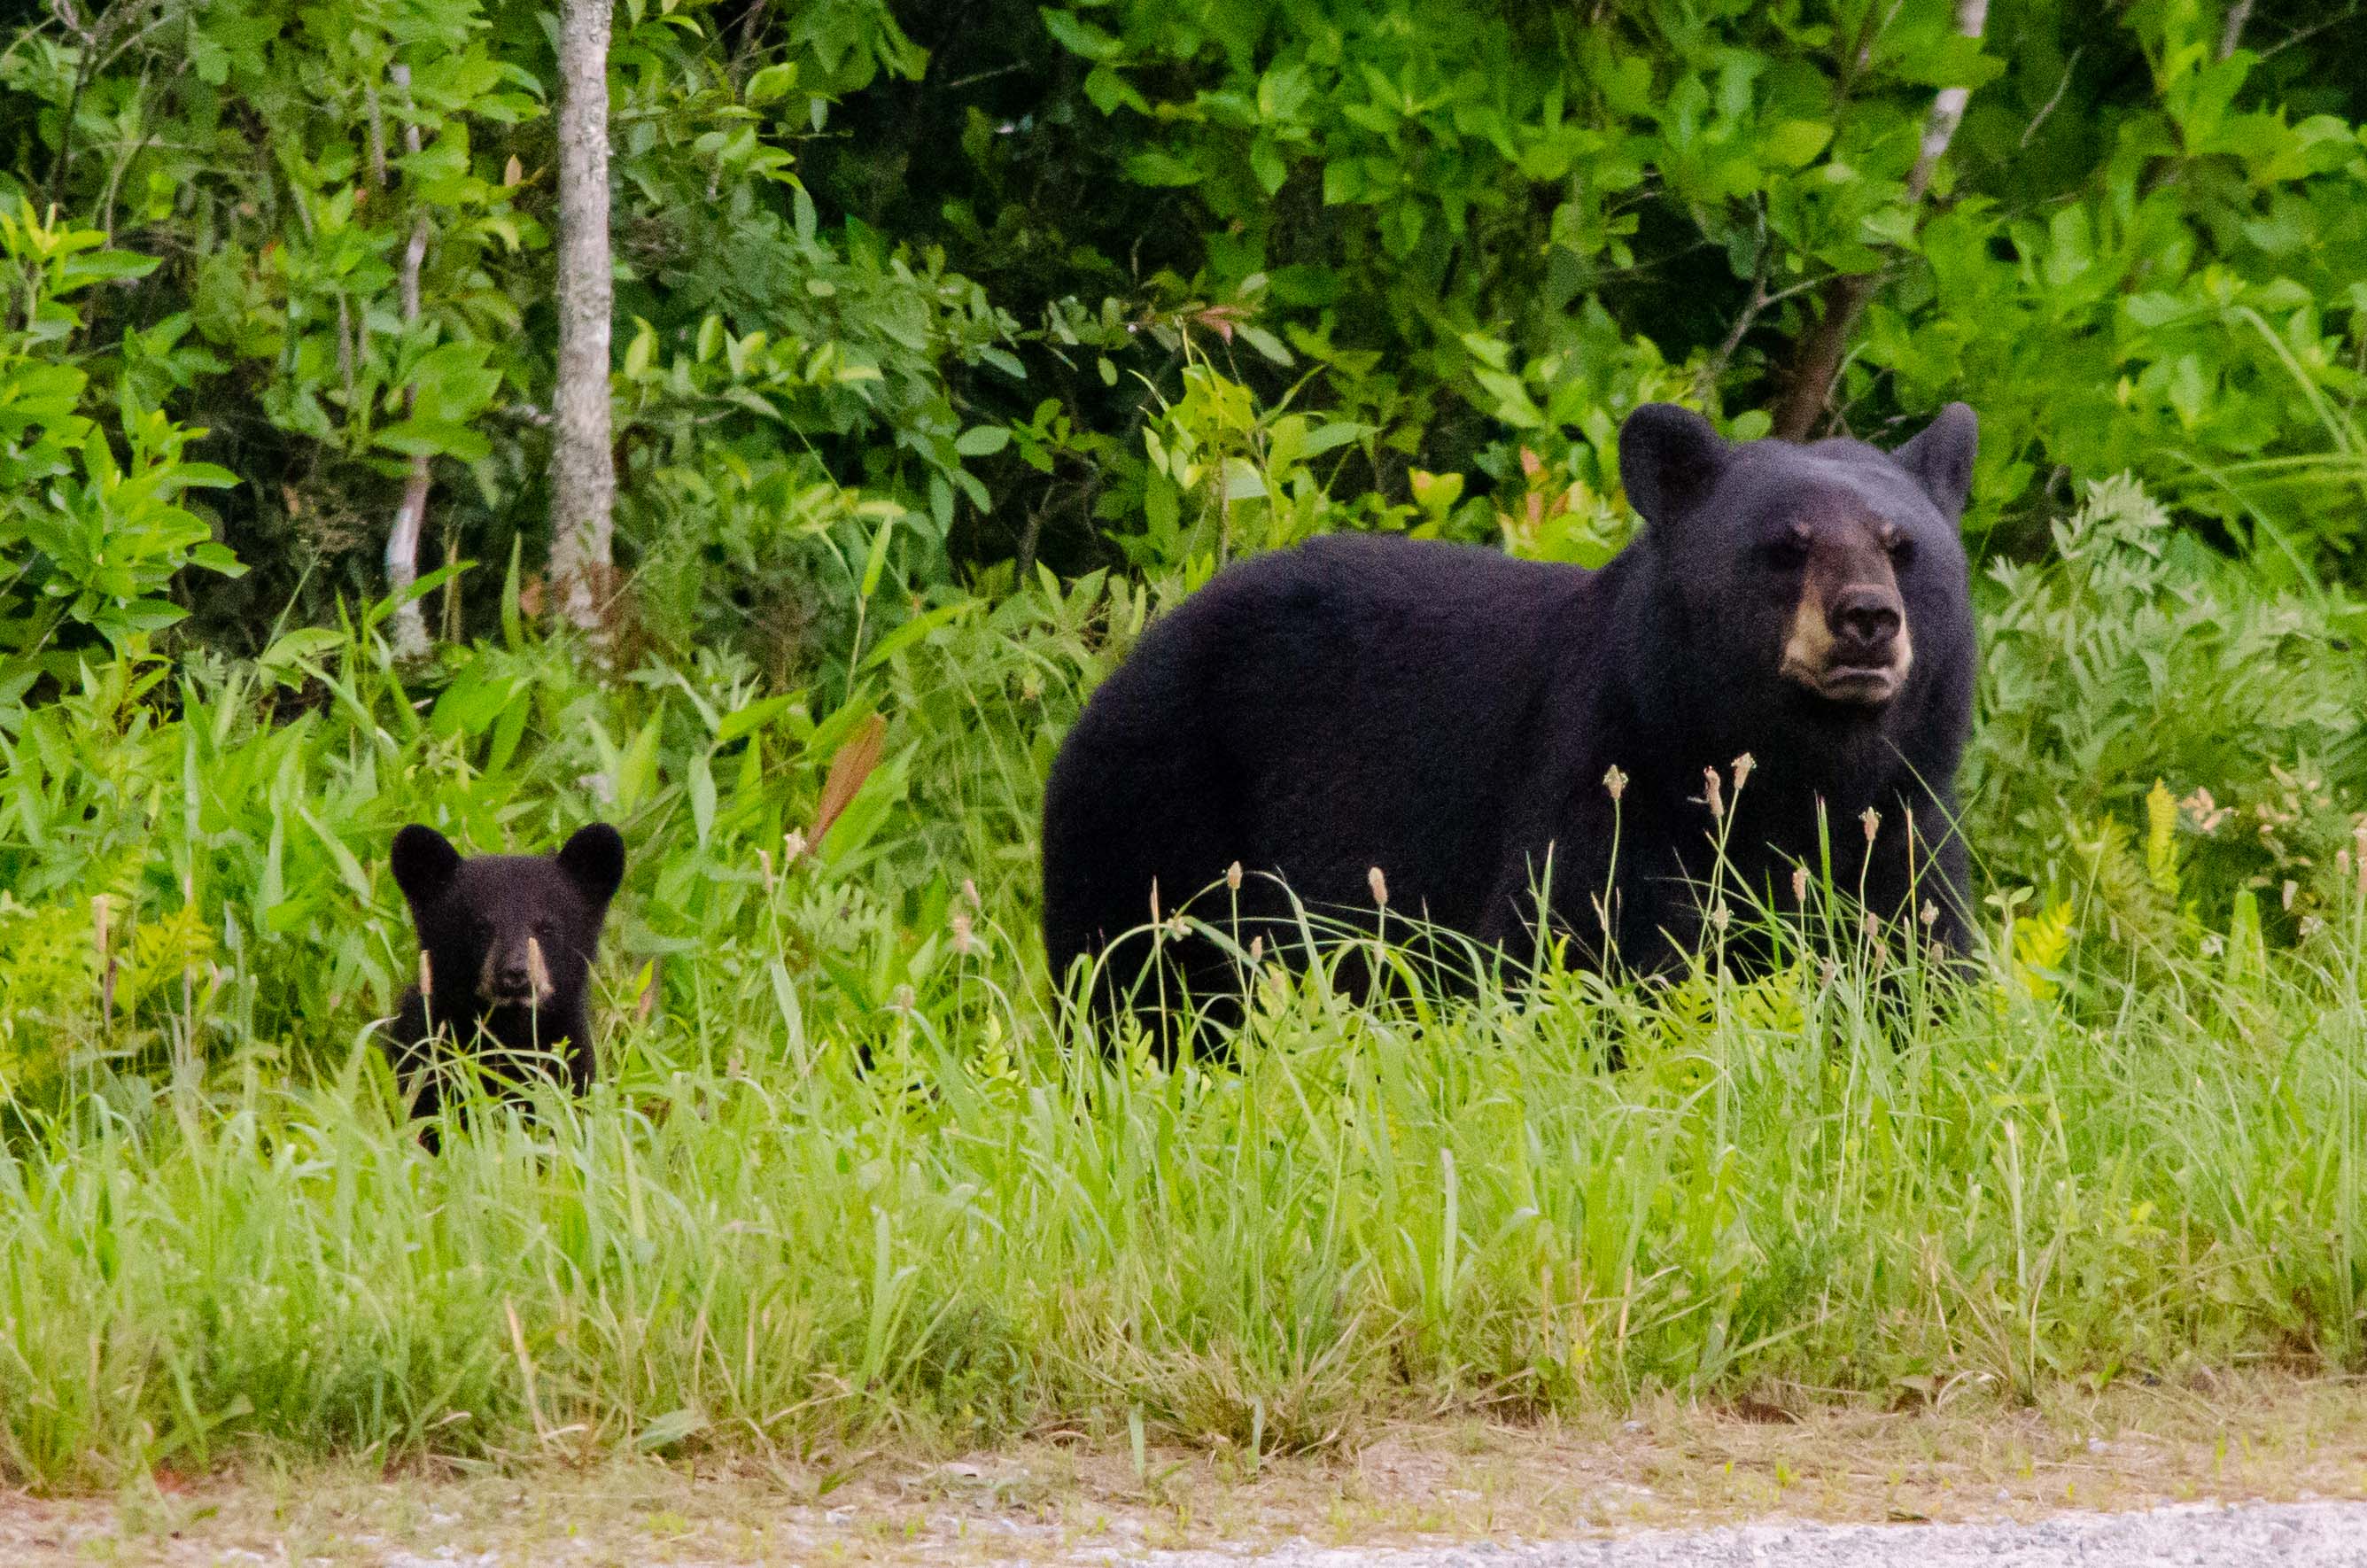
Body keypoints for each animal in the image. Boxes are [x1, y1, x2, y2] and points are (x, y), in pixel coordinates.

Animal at [381, 828, 620, 1151]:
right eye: (480, 928)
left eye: (547, 928)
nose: (516, 972)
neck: (509, 1032)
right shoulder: (425, 1060)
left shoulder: (572, 1064)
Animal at [1046, 402, 1988, 1056]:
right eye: (1787, 546)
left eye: (1900, 546)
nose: (1867, 620)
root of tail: (1126, 664)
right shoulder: (1608, 780)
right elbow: (1576, 951)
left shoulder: (1901, 825)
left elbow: (1921, 964)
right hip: (1159, 809)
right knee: (1138, 984)